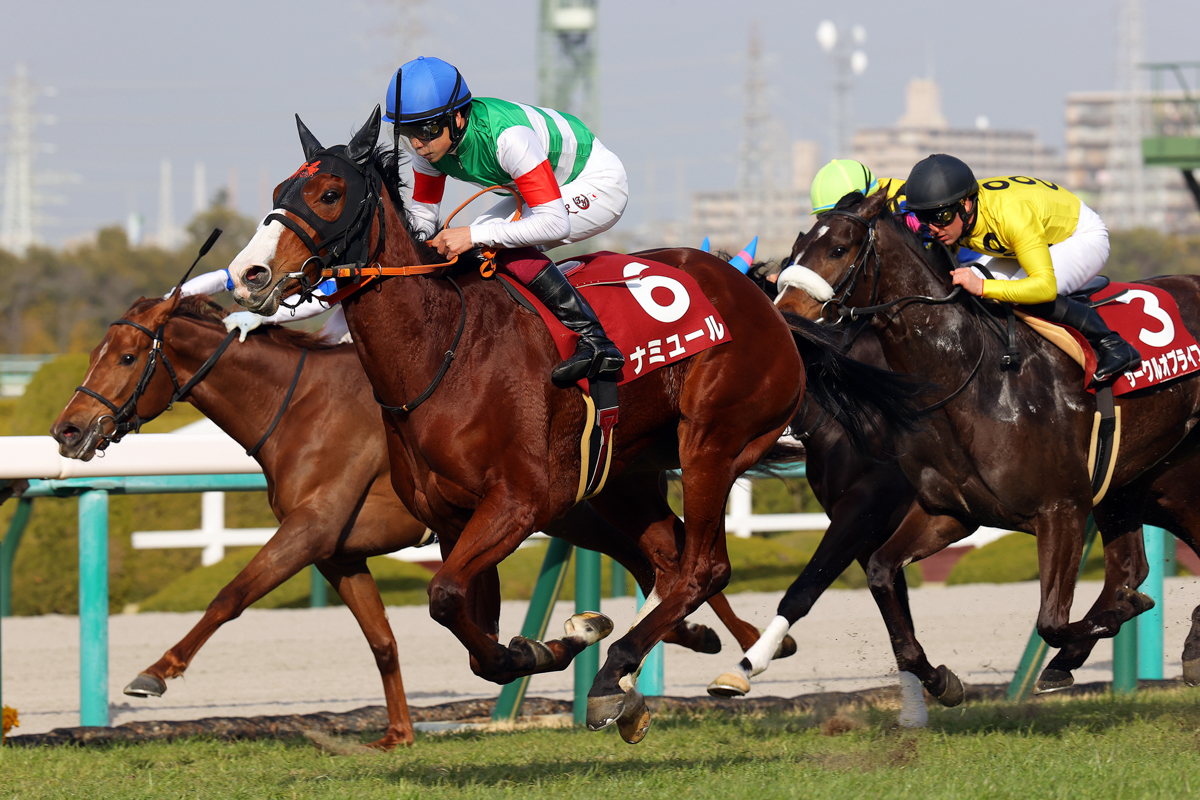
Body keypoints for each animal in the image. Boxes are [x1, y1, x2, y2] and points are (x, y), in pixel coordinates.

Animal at [54, 292, 806, 743]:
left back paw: (728, 645)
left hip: (577, 506)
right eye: (95, 353)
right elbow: (384, 641)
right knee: (667, 555)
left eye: (127, 357)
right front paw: (399, 730)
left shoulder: (311, 528)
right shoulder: (340, 551)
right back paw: (698, 640)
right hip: (584, 507)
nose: (67, 430)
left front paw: (156, 670)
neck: (296, 407)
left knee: (678, 555)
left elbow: (231, 595)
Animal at [223, 107, 916, 743]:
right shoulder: (452, 519)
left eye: (329, 194)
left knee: (702, 566)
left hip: (711, 443)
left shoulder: (520, 502)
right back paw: (660, 658)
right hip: (626, 472)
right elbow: (475, 639)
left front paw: (569, 642)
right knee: (668, 558)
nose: (250, 275)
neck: (442, 350)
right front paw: (552, 643)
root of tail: (767, 301)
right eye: (280, 192)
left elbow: (446, 598)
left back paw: (618, 675)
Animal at [777, 190, 1200, 705]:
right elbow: (880, 573)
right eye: (795, 249)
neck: (968, 377)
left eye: (838, 248)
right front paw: (941, 680)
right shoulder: (951, 512)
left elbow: (1053, 621)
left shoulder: (1061, 508)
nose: (785, 312)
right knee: (1129, 566)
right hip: (1137, 483)